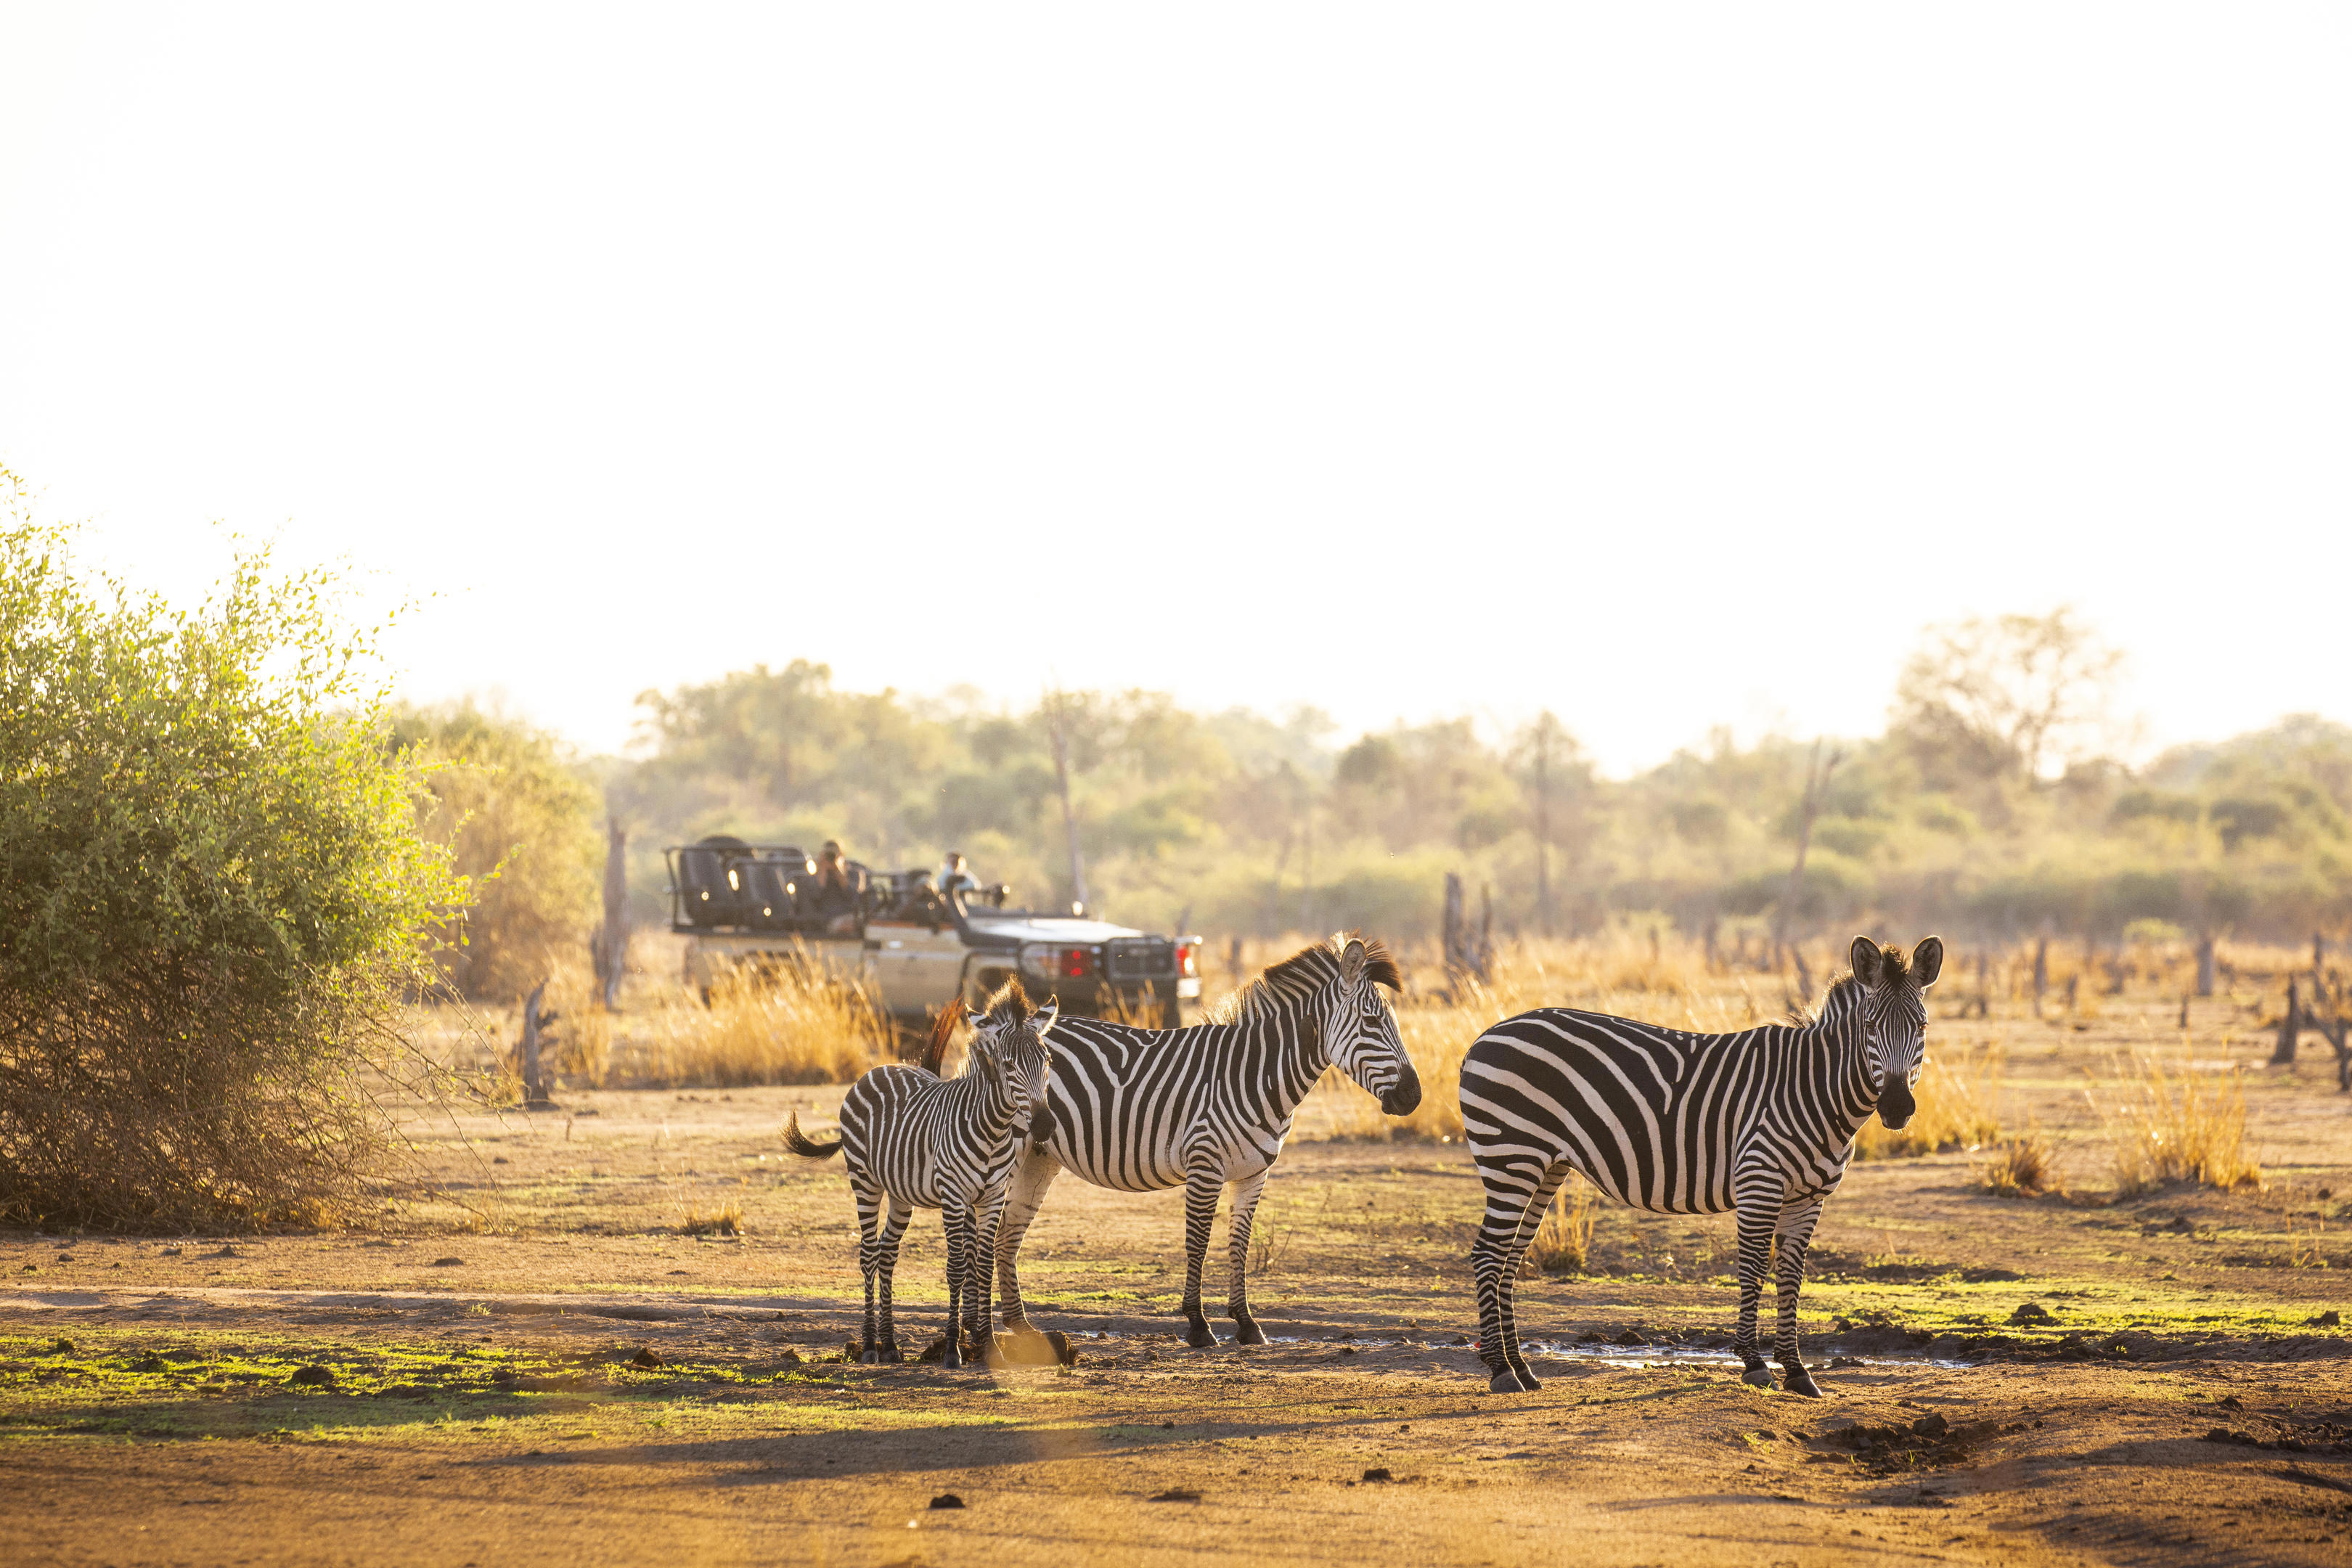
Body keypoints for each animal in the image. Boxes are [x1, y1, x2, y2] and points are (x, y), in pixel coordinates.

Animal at [785, 979, 1058, 1368]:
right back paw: (869, 1346)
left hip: (901, 1194)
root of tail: (879, 1068)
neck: (995, 1128)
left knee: (887, 1254)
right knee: (868, 1255)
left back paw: (890, 1344)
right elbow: (957, 1268)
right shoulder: (954, 1198)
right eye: (1008, 1066)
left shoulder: (992, 1198)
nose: (1045, 1124)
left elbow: (984, 1266)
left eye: (1047, 1061)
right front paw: (953, 1350)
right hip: (864, 1182)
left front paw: (989, 1347)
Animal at [992, 934, 1419, 1350]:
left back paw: (1021, 1326)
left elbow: (1239, 1244)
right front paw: (1198, 1325)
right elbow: (1197, 1243)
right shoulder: (1205, 1164)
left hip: (1040, 1157)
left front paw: (1247, 1323)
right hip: (1005, 1153)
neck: (1255, 1074)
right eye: (1372, 1021)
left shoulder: (1254, 1174)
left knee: (1007, 1235)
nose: (1413, 1096)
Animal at [1459, 934, 1942, 1398]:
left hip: (1545, 1167)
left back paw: (1521, 1367)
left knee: (1510, 1257)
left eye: (1921, 1027)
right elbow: (1753, 1268)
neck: (1814, 1089)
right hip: (1511, 1156)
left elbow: (1791, 1276)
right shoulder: (1759, 1181)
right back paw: (1501, 1370)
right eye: (1871, 1027)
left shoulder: (1809, 1198)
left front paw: (1796, 1370)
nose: (1896, 1108)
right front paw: (1754, 1362)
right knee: (1488, 1253)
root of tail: (1486, 1034)